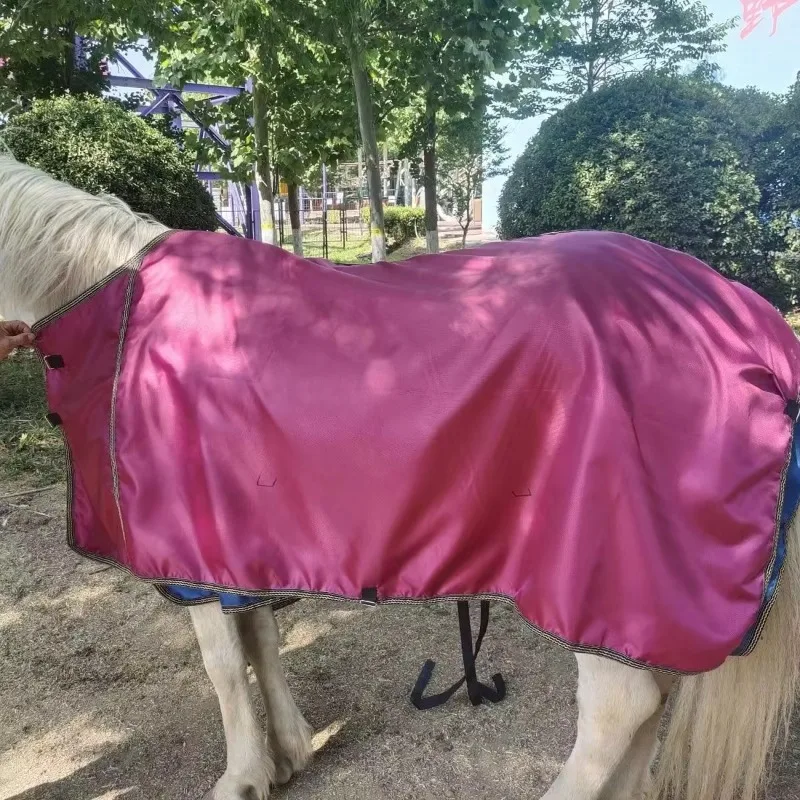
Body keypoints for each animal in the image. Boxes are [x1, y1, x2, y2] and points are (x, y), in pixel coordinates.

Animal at [1, 154, 799, 800]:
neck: (117, 307)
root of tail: (751, 327)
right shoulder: (241, 546)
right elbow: (260, 638)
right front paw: (289, 754)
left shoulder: (194, 548)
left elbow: (224, 663)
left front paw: (243, 776)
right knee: (649, 708)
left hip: (608, 588)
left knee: (620, 710)